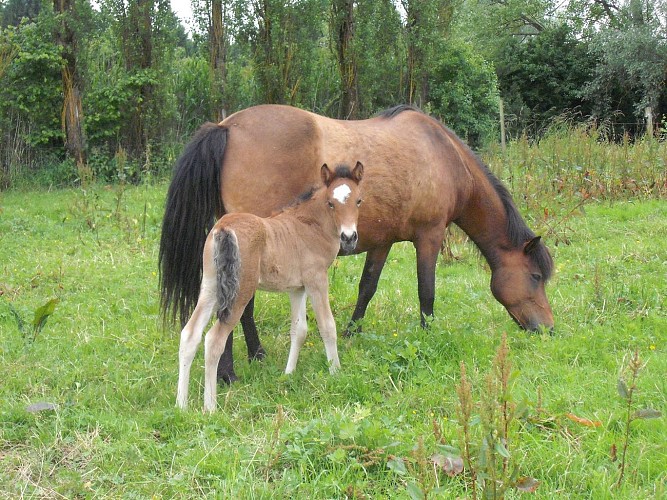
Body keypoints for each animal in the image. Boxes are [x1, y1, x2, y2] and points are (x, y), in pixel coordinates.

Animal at [160, 104, 555, 384]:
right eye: (536, 277)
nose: (548, 330)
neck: (443, 156)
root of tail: (226, 127)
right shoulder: (430, 236)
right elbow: (426, 292)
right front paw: (428, 336)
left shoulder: (382, 241)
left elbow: (368, 286)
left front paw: (352, 332)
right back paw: (228, 372)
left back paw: (255, 355)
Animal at [176, 162, 364, 412]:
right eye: (331, 203)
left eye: (358, 200)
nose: (349, 237)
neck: (310, 225)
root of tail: (224, 227)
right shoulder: (316, 280)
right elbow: (327, 326)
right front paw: (336, 372)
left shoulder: (297, 289)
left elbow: (299, 330)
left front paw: (288, 374)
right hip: (239, 292)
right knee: (214, 339)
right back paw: (210, 407)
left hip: (210, 287)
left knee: (190, 334)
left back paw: (181, 404)